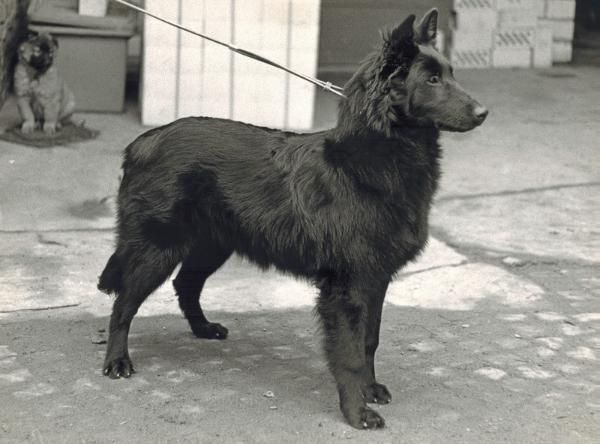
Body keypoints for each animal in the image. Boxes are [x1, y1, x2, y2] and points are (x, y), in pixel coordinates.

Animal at [96, 8, 486, 428]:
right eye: (431, 80)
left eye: (451, 74)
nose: (484, 113)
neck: (370, 159)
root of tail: (141, 143)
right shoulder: (346, 288)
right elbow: (349, 353)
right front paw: (356, 411)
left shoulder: (376, 279)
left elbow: (370, 340)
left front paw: (370, 390)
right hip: (157, 250)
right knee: (123, 304)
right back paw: (117, 360)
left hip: (211, 246)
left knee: (185, 285)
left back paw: (202, 329)